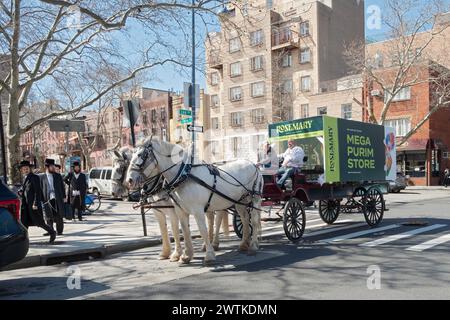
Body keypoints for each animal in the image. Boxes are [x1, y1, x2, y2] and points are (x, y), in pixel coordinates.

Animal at [125, 136, 262, 264]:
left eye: (141, 155)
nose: (129, 180)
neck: (184, 176)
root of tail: (253, 164)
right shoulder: (178, 210)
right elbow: (183, 231)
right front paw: (185, 255)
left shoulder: (196, 210)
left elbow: (201, 230)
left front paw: (208, 255)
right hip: (239, 202)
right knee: (244, 220)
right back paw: (243, 244)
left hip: (254, 198)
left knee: (254, 221)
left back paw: (253, 245)